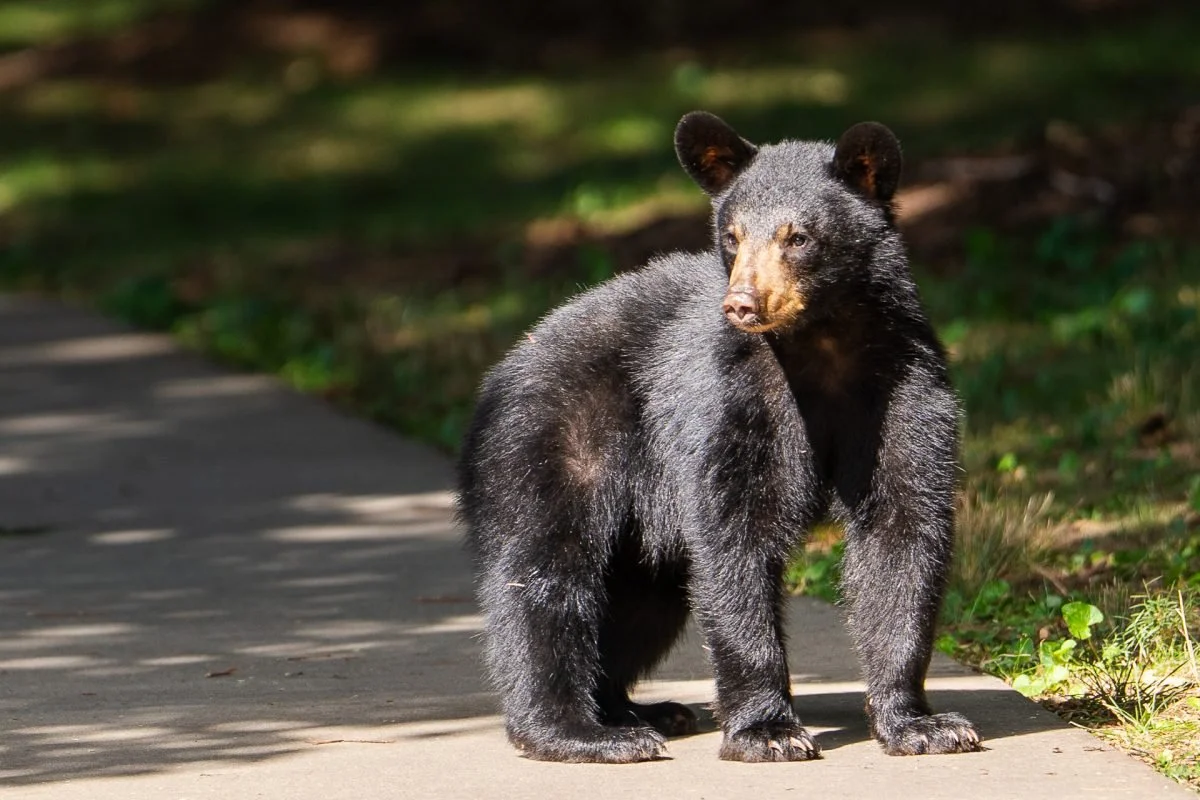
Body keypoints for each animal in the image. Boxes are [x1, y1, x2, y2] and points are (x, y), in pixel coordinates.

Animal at [456, 110, 982, 763]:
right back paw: (581, 731)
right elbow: (736, 531)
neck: (821, 346)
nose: (742, 303)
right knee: (545, 577)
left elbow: (902, 529)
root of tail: (501, 371)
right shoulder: (728, 398)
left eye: (797, 237)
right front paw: (768, 730)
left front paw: (921, 724)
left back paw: (639, 709)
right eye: (732, 235)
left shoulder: (904, 385)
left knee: (642, 602)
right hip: (550, 440)